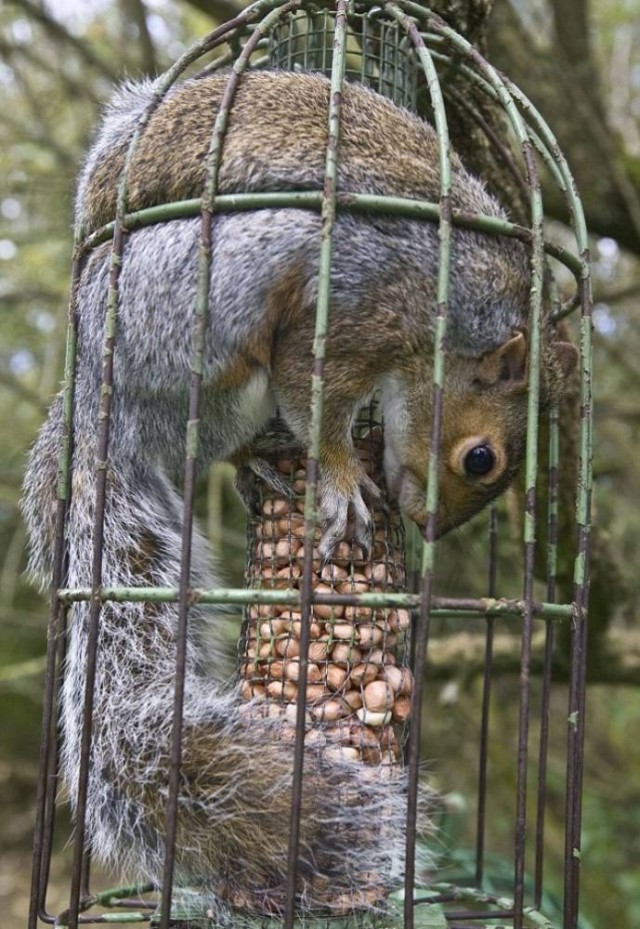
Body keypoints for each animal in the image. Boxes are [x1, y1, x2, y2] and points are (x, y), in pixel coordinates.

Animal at [22, 70, 576, 912]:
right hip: (213, 312)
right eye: (481, 458)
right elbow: (313, 394)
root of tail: (92, 396)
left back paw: (263, 461)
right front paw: (344, 478)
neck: (459, 307)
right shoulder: (357, 310)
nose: (427, 526)